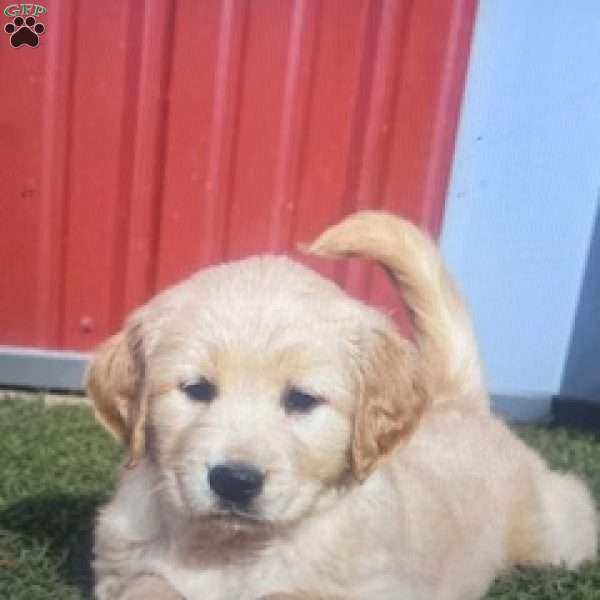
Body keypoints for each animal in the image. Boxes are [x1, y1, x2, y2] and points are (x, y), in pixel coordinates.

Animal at [86, 212, 596, 600]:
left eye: (301, 399)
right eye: (197, 390)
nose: (234, 480)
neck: (232, 550)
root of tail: (458, 400)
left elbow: (291, 594)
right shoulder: (121, 566)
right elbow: (149, 583)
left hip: (548, 532)